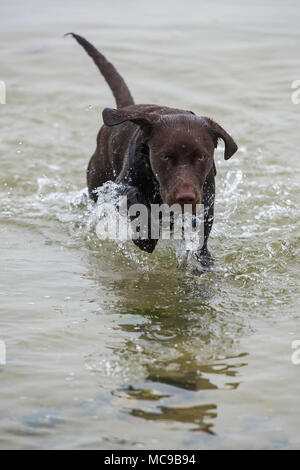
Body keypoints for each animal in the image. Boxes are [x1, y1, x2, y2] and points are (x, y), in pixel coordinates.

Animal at [67, 32, 238, 268]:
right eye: (165, 157)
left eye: (201, 156)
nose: (185, 197)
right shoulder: (120, 186)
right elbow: (136, 199)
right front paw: (146, 238)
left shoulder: (205, 202)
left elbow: (201, 236)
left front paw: (203, 262)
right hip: (98, 181)